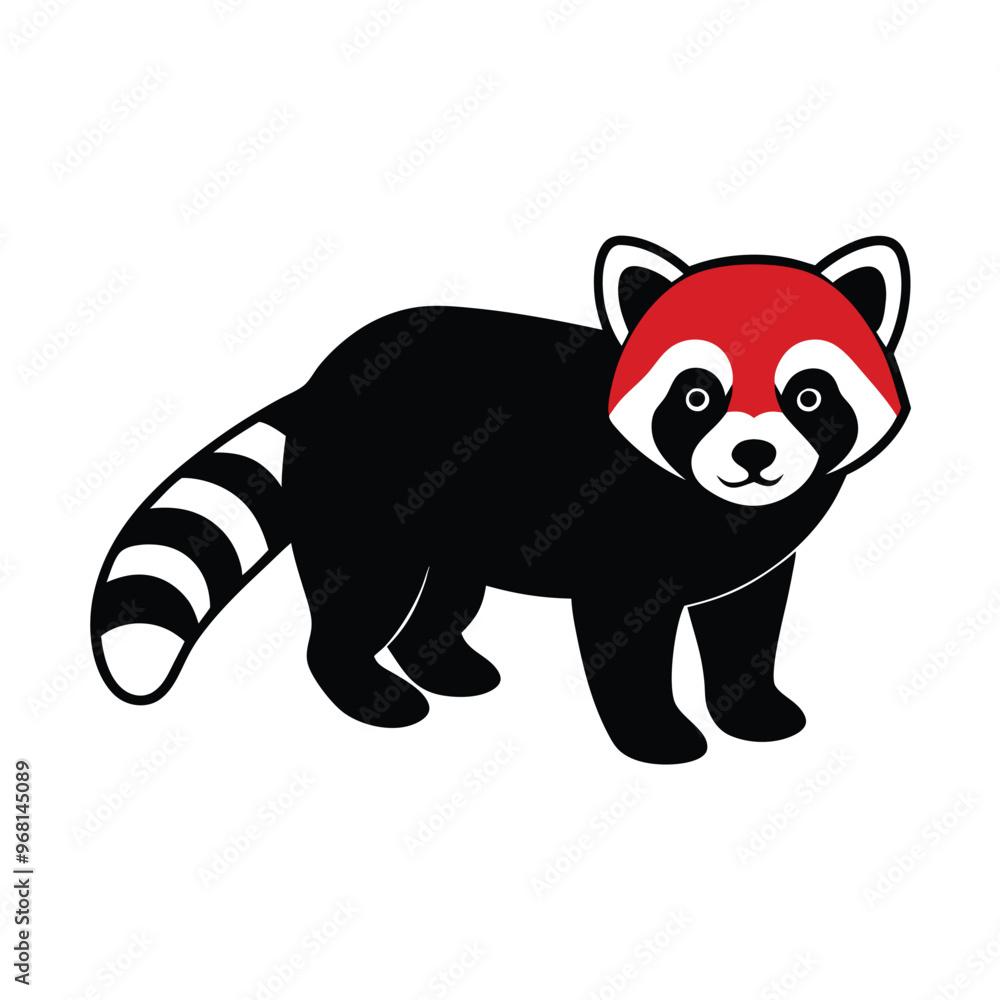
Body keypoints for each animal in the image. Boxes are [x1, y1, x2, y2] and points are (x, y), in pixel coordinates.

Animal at [91, 235, 910, 764]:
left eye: (808, 394)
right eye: (698, 395)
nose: (754, 455)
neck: (710, 499)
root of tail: (321, 378)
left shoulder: (760, 544)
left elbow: (747, 622)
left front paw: (749, 705)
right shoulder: (621, 530)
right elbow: (625, 634)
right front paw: (654, 731)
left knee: (448, 594)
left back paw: (439, 660)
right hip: (361, 492)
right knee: (363, 594)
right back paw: (367, 688)